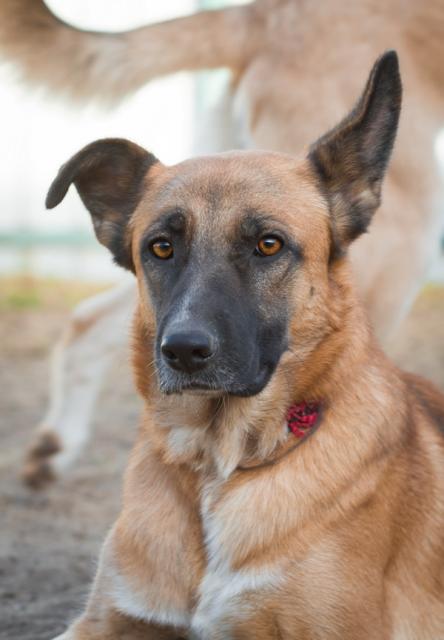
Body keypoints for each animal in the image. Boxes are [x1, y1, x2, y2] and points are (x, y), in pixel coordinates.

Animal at [0, 0, 444, 484]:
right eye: (161, 247)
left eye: (269, 244)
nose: (184, 351)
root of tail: (265, 13)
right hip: (402, 245)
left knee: (87, 318)